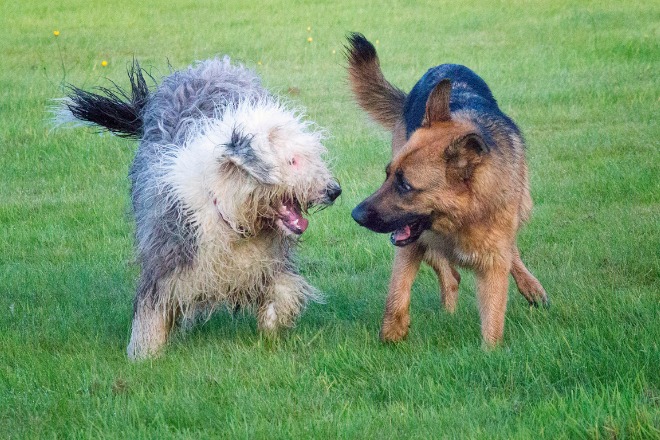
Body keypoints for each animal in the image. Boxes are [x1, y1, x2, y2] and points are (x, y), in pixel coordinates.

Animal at [56, 57, 340, 360]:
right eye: (293, 161)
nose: (334, 190)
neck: (231, 216)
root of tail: (211, 65)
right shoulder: (167, 256)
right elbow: (151, 311)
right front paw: (142, 357)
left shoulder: (269, 263)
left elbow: (283, 291)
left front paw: (273, 327)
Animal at [346, 32, 548, 346]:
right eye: (388, 175)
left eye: (405, 185)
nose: (355, 214)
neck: (463, 216)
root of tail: (444, 65)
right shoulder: (410, 244)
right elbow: (397, 294)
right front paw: (391, 336)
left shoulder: (492, 267)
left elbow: (493, 323)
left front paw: (490, 353)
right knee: (451, 276)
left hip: (522, 206)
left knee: (508, 250)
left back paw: (531, 286)